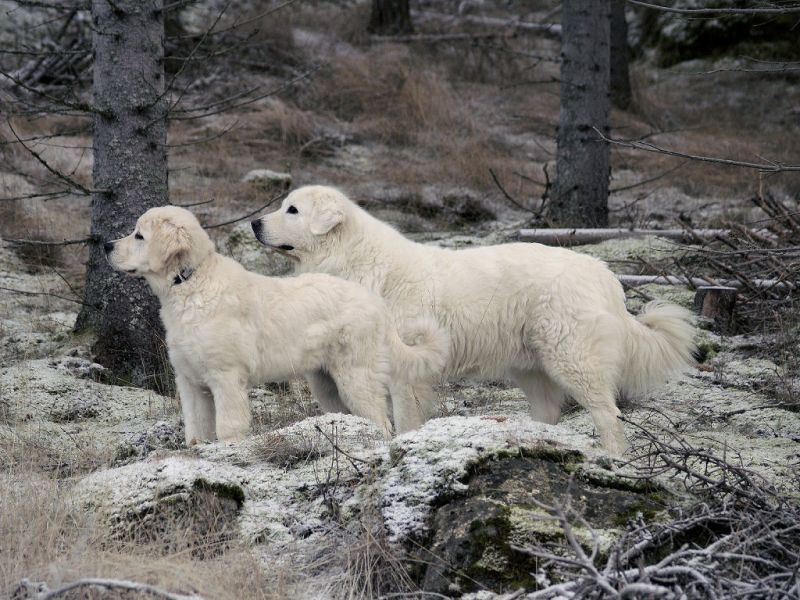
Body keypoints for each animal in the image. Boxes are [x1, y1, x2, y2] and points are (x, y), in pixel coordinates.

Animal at [105, 205, 447, 444]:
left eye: (139, 236)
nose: (106, 245)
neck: (190, 284)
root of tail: (375, 303)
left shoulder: (225, 377)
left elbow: (227, 427)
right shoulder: (190, 382)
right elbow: (195, 429)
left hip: (356, 376)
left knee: (380, 420)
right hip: (327, 383)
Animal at [251, 186, 697, 456]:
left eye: (292, 210)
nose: (254, 222)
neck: (353, 261)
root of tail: (604, 272)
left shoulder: (405, 372)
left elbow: (405, 420)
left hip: (572, 359)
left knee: (608, 413)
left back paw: (613, 456)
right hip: (533, 369)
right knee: (550, 411)